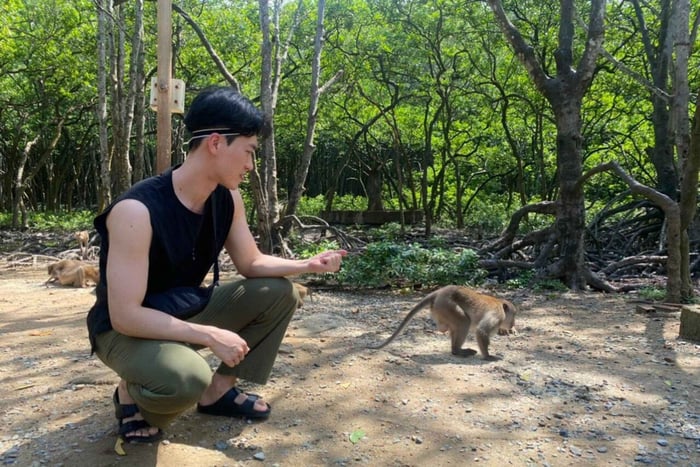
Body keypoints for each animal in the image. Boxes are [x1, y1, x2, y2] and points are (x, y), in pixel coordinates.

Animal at [368, 285, 517, 361]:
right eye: (514, 315)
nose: (513, 324)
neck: (501, 306)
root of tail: (438, 292)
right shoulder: (497, 314)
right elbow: (481, 331)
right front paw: (488, 356)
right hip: (446, 304)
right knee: (464, 322)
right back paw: (457, 350)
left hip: (441, 308)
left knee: (454, 325)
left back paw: (452, 345)